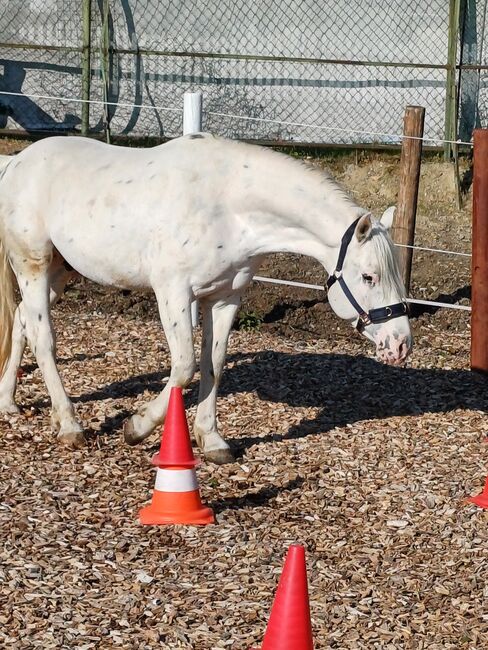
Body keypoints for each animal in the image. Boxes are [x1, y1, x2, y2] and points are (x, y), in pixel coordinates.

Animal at [0, 134, 412, 460]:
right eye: (369, 276)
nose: (400, 345)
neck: (228, 207)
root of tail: (17, 162)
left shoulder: (225, 298)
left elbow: (214, 362)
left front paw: (212, 440)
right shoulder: (174, 293)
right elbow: (184, 366)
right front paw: (136, 427)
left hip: (60, 272)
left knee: (22, 320)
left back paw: (9, 401)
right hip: (33, 267)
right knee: (43, 340)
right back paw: (70, 425)